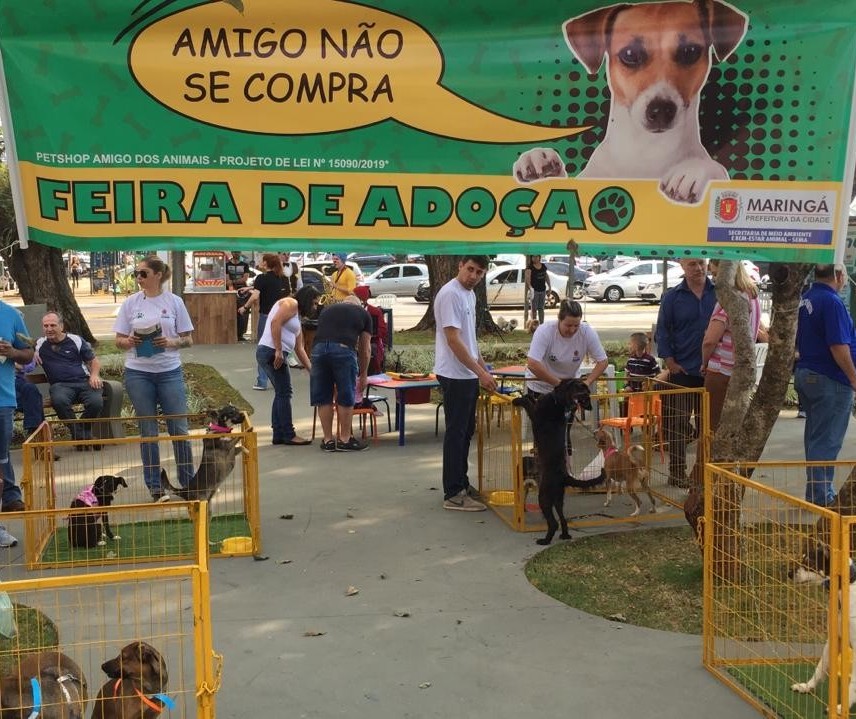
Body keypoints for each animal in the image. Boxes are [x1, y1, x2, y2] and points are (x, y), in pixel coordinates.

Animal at [512, 380, 604, 544]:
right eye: (584, 392)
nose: (590, 407)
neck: (557, 402)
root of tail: (564, 476)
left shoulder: (535, 415)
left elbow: (528, 404)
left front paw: (518, 399)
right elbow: (531, 399)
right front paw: (527, 395)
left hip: (544, 496)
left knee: (554, 523)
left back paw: (545, 540)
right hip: (558, 498)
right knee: (563, 519)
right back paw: (565, 535)